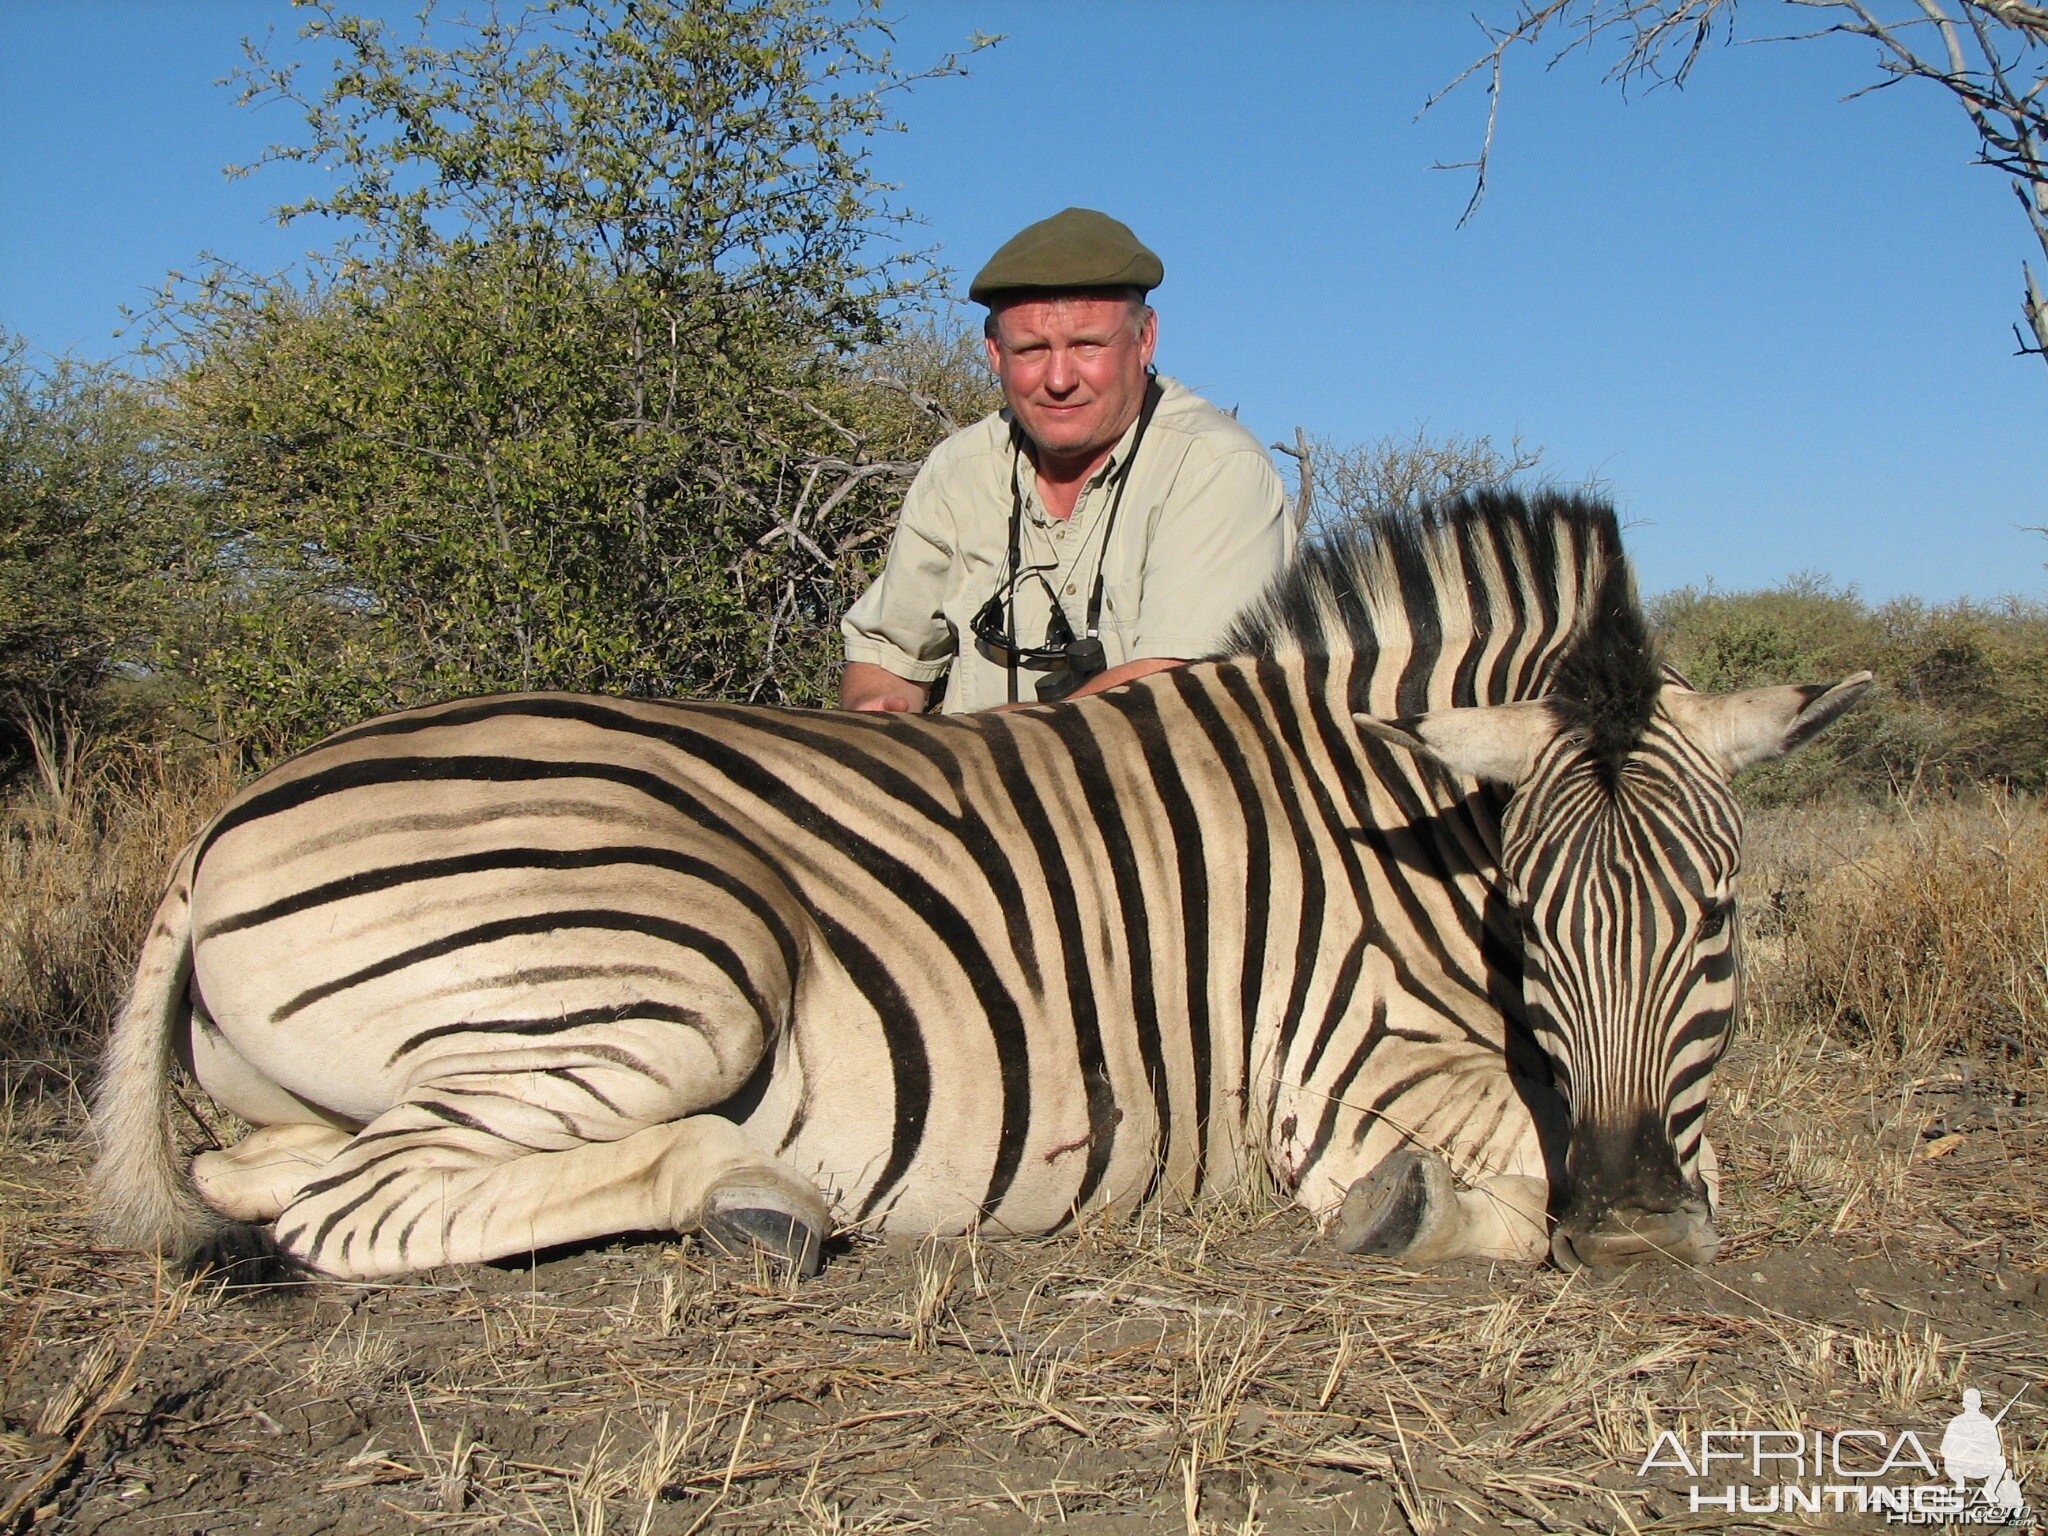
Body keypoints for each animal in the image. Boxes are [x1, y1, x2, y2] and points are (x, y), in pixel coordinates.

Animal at [96, 487, 1875, 1277]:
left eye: (1720, 916)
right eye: (1531, 917)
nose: (1632, 1220)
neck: (1395, 819)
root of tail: (216, 830)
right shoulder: (1344, 1058)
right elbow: (1498, 1185)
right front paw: (1398, 1209)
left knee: (264, 1171)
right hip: (676, 966)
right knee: (349, 1206)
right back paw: (751, 1194)